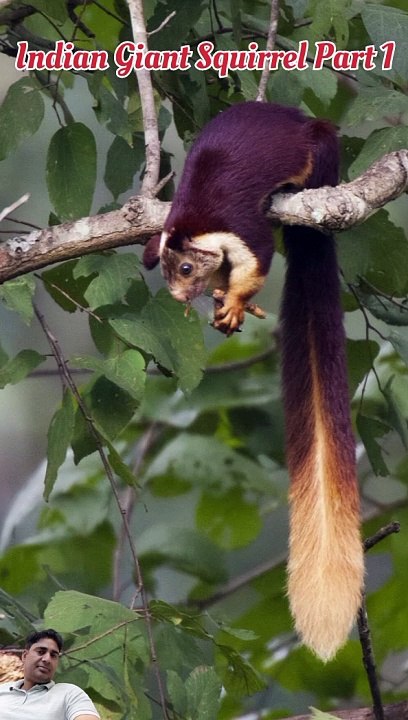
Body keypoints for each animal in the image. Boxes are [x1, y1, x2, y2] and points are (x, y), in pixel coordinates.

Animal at [143, 101, 364, 661]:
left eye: (185, 268)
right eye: (169, 276)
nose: (181, 298)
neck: (195, 219)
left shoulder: (242, 231)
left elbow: (257, 260)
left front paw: (237, 301)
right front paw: (226, 302)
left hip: (320, 149)